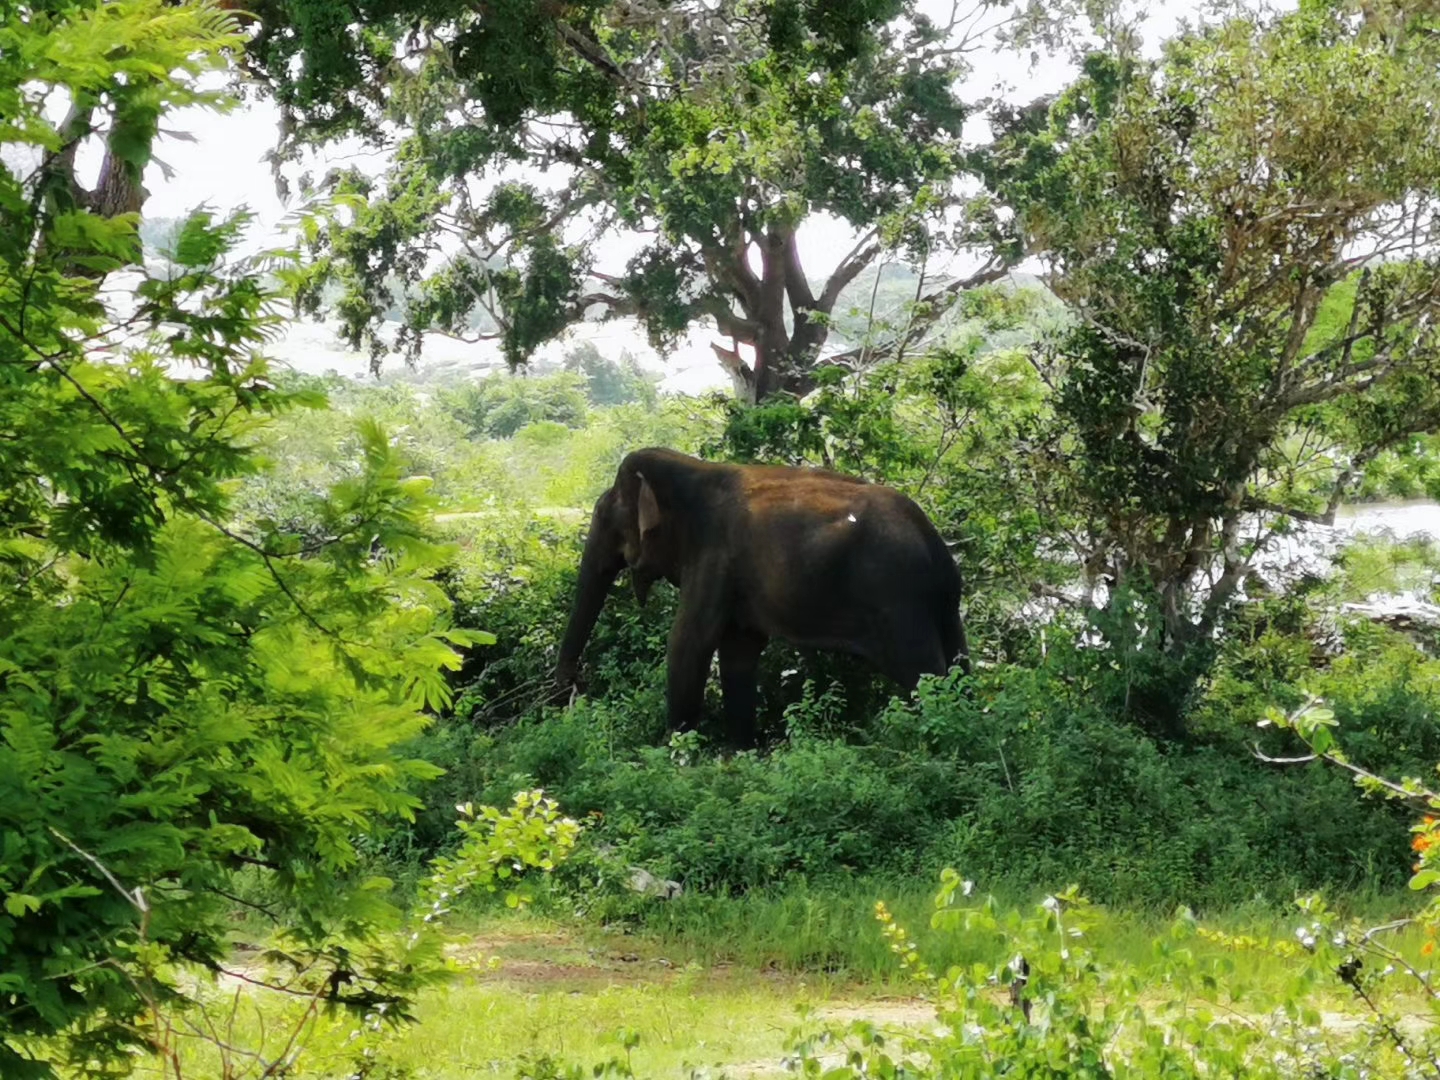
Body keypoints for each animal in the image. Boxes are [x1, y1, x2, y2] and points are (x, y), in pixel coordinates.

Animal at [550, 449, 967, 743]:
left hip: (898, 600)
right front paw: (739, 755)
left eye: (607, 517)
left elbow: (688, 643)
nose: (573, 692)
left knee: (926, 674)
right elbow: (739, 650)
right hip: (942, 604)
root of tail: (934, 543)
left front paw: (671, 756)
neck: (693, 468)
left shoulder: (714, 555)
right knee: (957, 663)